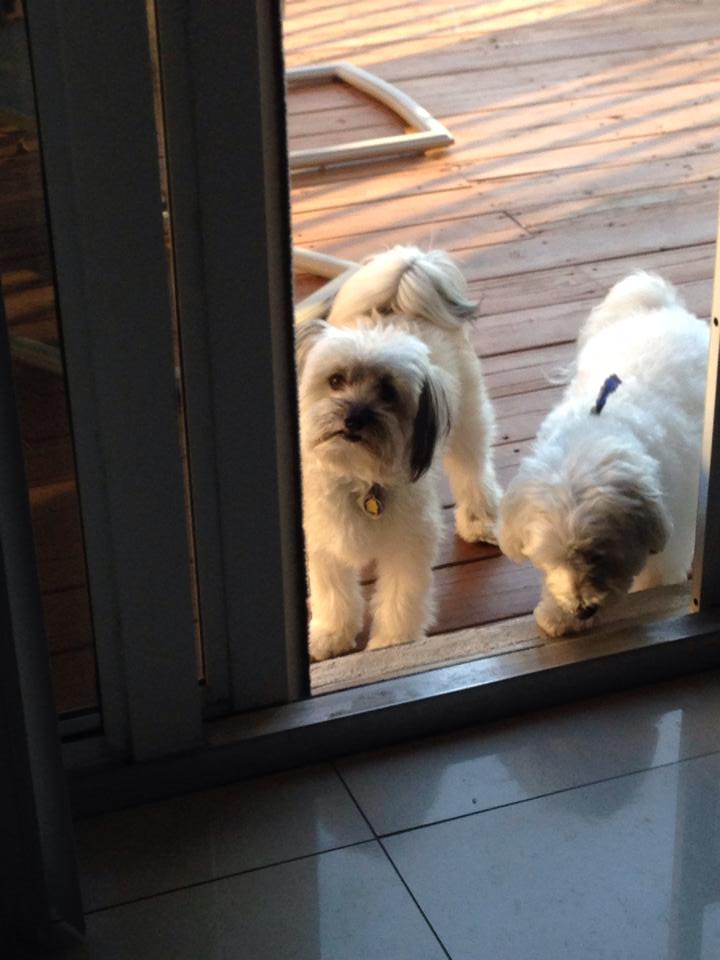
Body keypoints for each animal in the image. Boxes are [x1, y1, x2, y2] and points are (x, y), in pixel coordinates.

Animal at [296, 246, 500, 661]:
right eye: (336, 380)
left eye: (388, 392)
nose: (354, 417)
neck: (358, 477)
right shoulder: (323, 540)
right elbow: (333, 594)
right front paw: (331, 634)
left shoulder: (408, 544)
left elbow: (399, 598)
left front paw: (394, 645)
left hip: (467, 418)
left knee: (473, 468)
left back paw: (480, 519)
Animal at [498, 271, 708, 638]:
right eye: (551, 560)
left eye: (597, 554)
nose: (582, 610)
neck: (592, 432)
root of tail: (661, 308)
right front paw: (557, 614)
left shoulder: (676, 523)